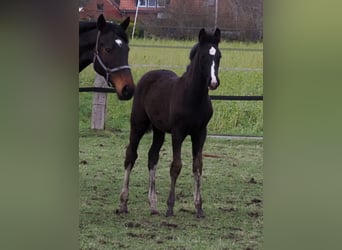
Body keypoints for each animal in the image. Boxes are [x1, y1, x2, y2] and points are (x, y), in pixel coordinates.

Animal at [116, 28, 220, 218]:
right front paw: (170, 207)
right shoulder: (178, 133)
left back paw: (153, 205)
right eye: (203, 57)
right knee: (131, 155)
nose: (213, 82)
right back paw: (123, 203)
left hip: (159, 130)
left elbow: (198, 166)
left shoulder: (200, 133)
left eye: (219, 56)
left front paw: (199, 207)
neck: (193, 97)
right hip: (138, 124)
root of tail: (149, 75)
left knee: (152, 156)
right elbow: (176, 166)